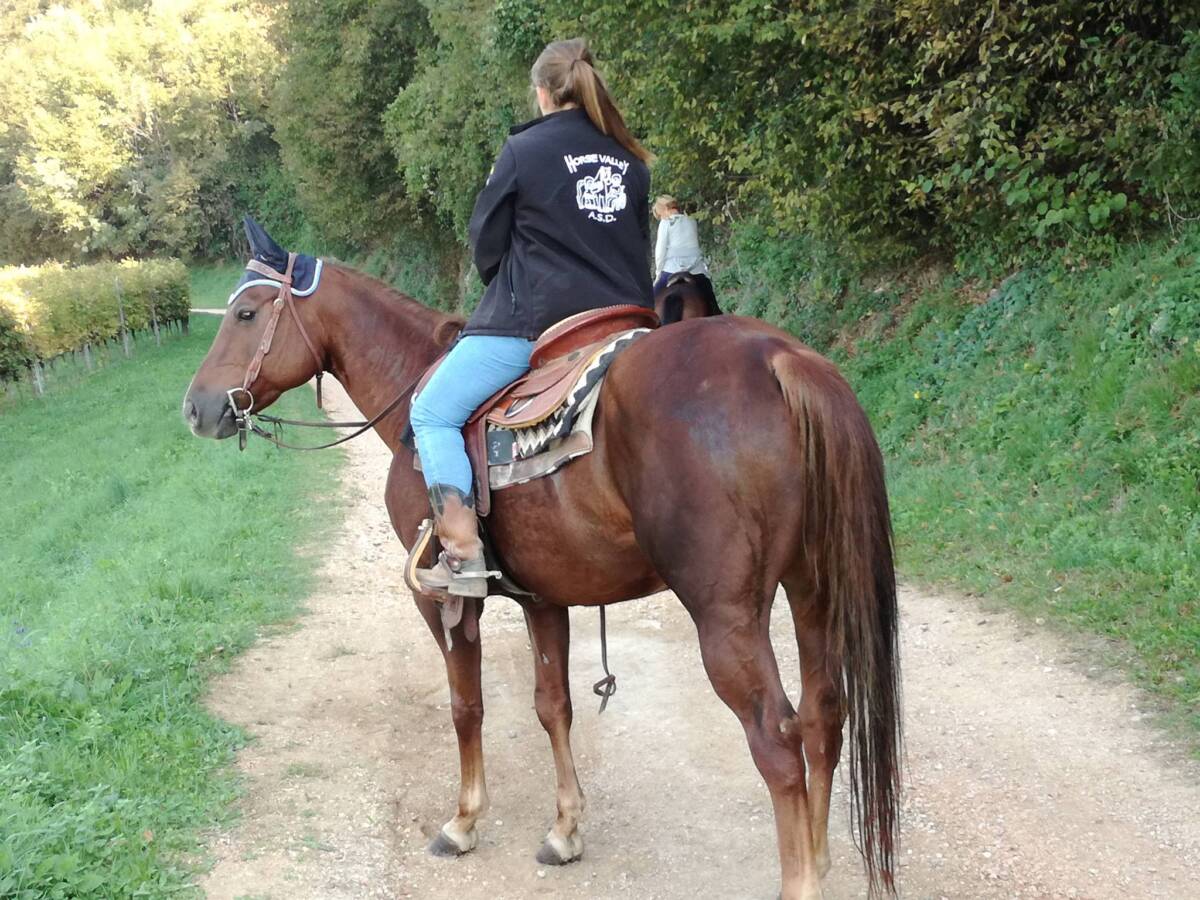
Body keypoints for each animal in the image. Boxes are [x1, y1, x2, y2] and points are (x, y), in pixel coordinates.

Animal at [182, 249, 901, 900]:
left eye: (246, 313)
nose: (196, 408)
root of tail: (781, 358)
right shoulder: (544, 598)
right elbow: (553, 707)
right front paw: (564, 831)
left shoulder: (447, 603)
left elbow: (466, 706)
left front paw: (464, 821)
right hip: (811, 589)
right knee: (824, 712)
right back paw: (820, 856)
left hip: (726, 616)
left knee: (778, 739)